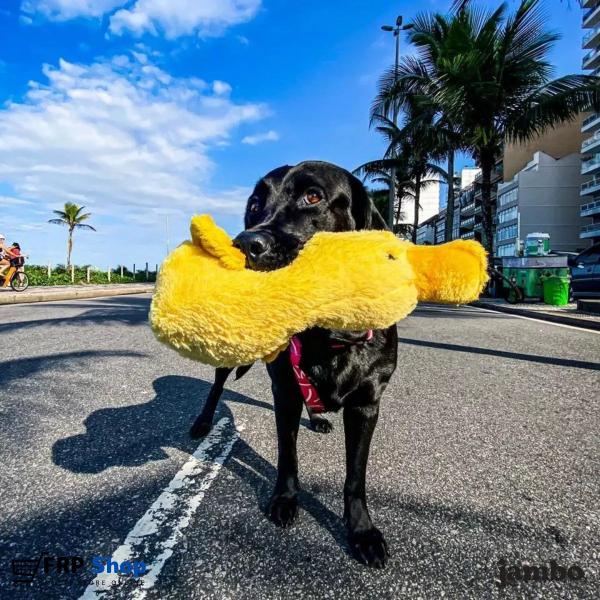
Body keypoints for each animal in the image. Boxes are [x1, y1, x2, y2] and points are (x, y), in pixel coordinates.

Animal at [193, 163, 398, 568]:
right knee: (217, 384)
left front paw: (362, 531)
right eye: (255, 204)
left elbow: (355, 477)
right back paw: (203, 421)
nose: (245, 244)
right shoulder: (284, 392)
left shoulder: (367, 404)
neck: (328, 335)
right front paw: (286, 499)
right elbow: (288, 455)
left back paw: (318, 418)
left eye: (313, 196)